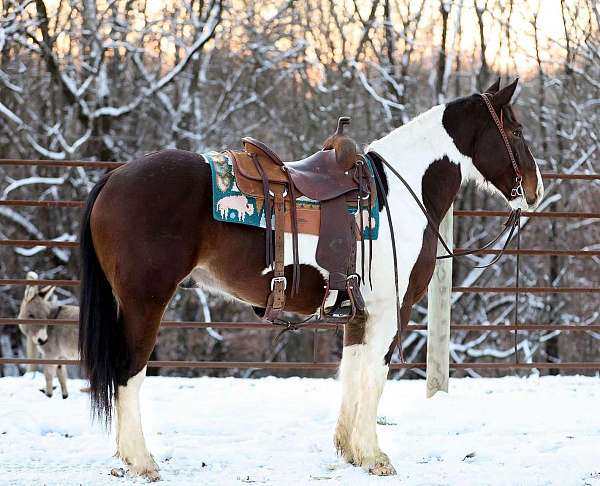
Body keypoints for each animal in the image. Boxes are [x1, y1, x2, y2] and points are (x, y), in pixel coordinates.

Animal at [76, 79, 544, 478]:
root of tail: (114, 177)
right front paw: (375, 457)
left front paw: (351, 451)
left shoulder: (358, 313)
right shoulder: (392, 310)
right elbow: (374, 377)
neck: (399, 196)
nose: (535, 190)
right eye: (517, 131)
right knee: (129, 371)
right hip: (146, 301)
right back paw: (141, 461)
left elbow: (352, 373)